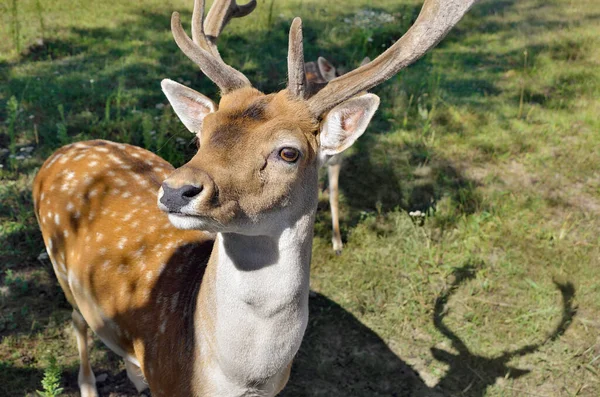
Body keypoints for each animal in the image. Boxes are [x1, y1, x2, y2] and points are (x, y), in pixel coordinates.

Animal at [32, 1, 476, 394]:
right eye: (201, 135)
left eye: (288, 152)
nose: (176, 189)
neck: (238, 378)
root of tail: (60, 152)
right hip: (61, 267)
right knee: (77, 321)